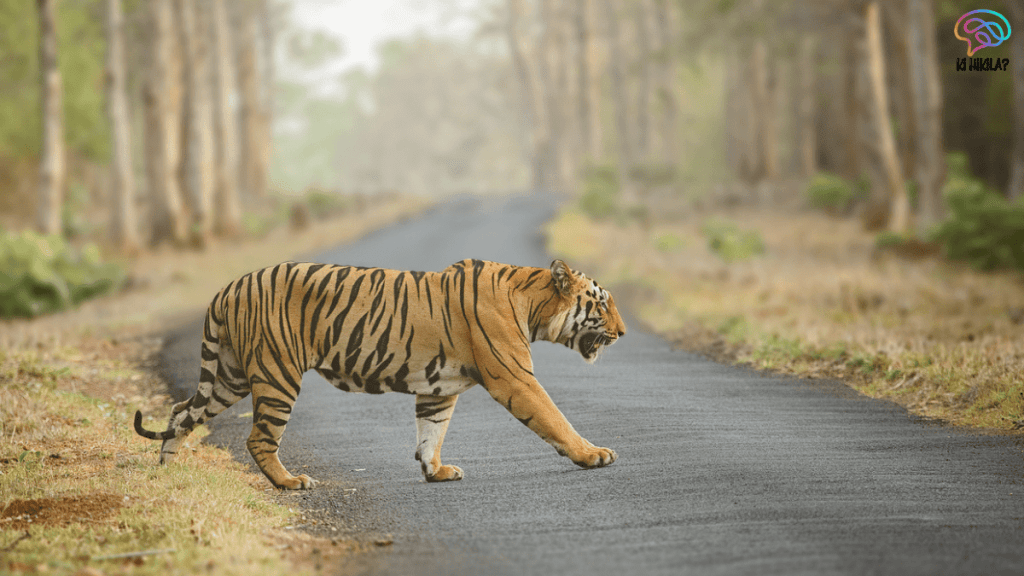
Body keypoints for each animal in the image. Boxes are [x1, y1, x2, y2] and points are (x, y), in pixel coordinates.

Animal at [134, 258, 626, 489]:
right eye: (602, 304)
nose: (622, 332)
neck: (532, 303)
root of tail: (228, 286)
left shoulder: (438, 389)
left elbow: (431, 432)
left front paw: (436, 471)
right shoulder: (515, 378)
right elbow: (555, 418)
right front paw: (593, 454)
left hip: (230, 376)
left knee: (181, 411)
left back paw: (167, 471)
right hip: (276, 375)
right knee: (258, 438)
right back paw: (290, 482)